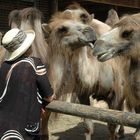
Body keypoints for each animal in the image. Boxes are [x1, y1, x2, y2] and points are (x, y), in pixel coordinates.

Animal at [42, 3, 126, 140]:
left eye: (83, 20)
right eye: (62, 29)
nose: (89, 31)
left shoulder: (116, 94)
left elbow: (112, 126)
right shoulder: (83, 94)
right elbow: (87, 126)